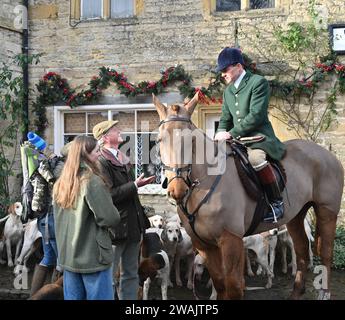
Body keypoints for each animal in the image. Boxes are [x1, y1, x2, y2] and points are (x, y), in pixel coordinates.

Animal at [154, 92, 344, 300]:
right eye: (159, 140)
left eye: (191, 141)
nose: (177, 190)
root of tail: (327, 154)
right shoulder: (204, 245)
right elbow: (219, 284)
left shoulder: (231, 240)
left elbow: (234, 286)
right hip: (296, 215)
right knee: (301, 249)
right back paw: (296, 292)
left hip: (326, 211)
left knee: (325, 252)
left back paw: (324, 293)